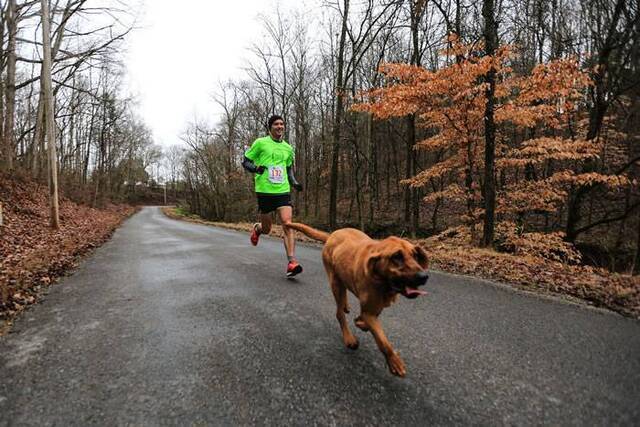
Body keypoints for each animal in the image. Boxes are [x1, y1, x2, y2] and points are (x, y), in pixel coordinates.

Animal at [284, 222, 430, 376]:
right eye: (396, 256)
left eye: (415, 255)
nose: (424, 276)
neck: (382, 281)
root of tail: (332, 235)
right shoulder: (369, 312)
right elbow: (383, 341)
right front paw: (394, 362)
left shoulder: (375, 308)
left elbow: (368, 321)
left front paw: (360, 322)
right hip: (335, 282)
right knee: (339, 313)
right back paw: (348, 337)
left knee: (344, 296)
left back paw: (346, 306)